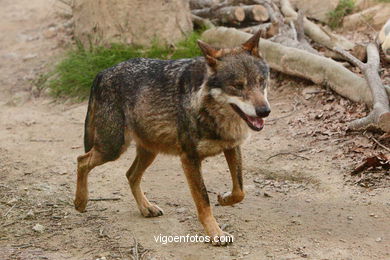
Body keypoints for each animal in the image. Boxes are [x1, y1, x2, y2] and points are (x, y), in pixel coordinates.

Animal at [74, 30, 272, 246]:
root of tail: (102, 73)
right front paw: (216, 233)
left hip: (148, 152)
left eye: (261, 82)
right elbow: (203, 201)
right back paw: (80, 202)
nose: (264, 111)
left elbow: (239, 191)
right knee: (82, 160)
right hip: (113, 148)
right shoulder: (189, 159)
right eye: (238, 86)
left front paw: (225, 199)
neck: (207, 109)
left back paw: (146, 207)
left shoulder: (232, 147)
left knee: (130, 174)